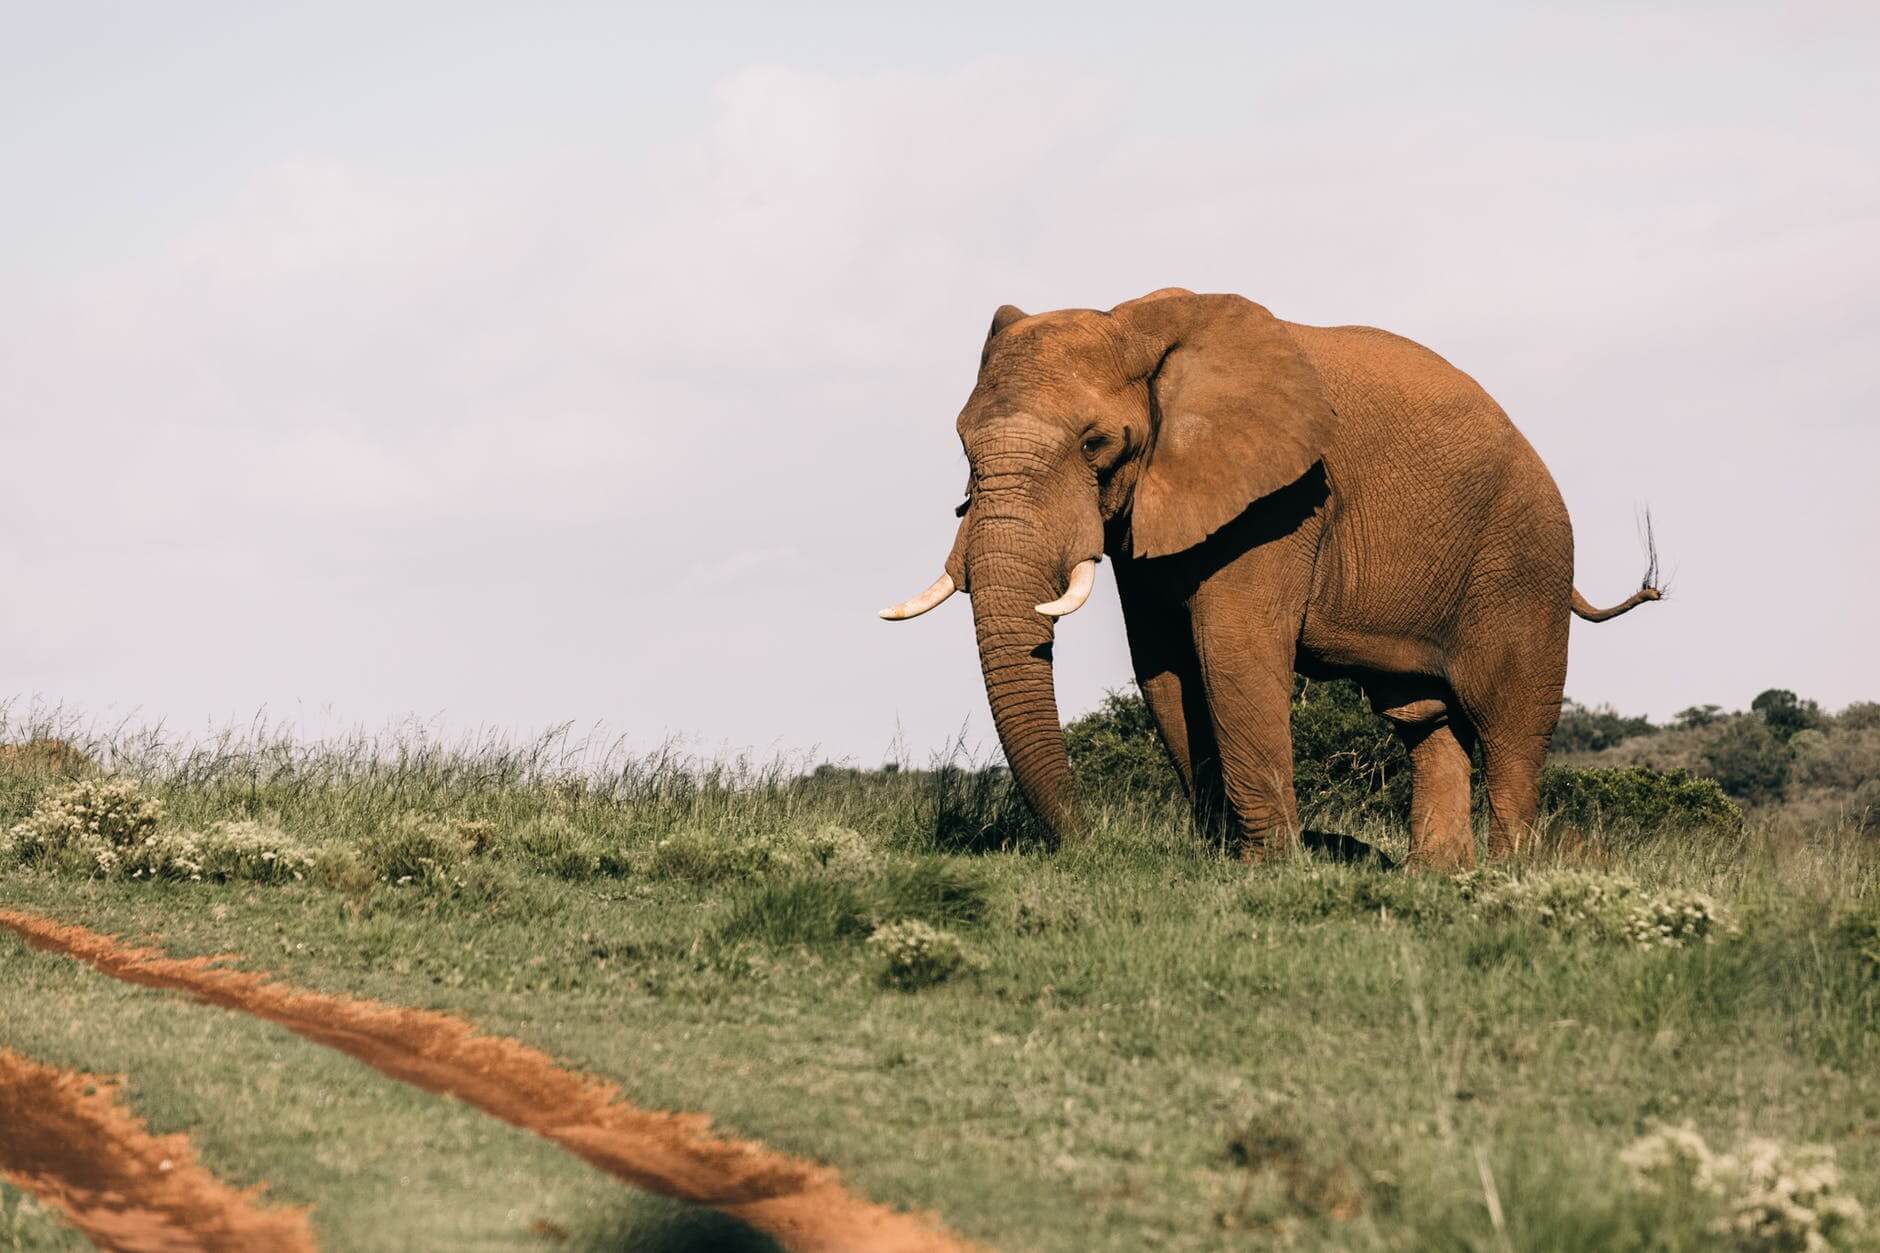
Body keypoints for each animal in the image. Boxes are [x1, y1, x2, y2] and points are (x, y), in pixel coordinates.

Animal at [879, 285, 1661, 869]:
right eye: (962, 444)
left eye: (1098, 444)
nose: (1087, 844)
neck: (1137, 325)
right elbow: (1164, 663)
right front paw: (1220, 857)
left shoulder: (1282, 500)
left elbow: (1234, 649)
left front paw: (1267, 869)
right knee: (1424, 719)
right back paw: (1434, 878)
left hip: (1525, 560)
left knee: (1510, 725)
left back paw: (1507, 876)